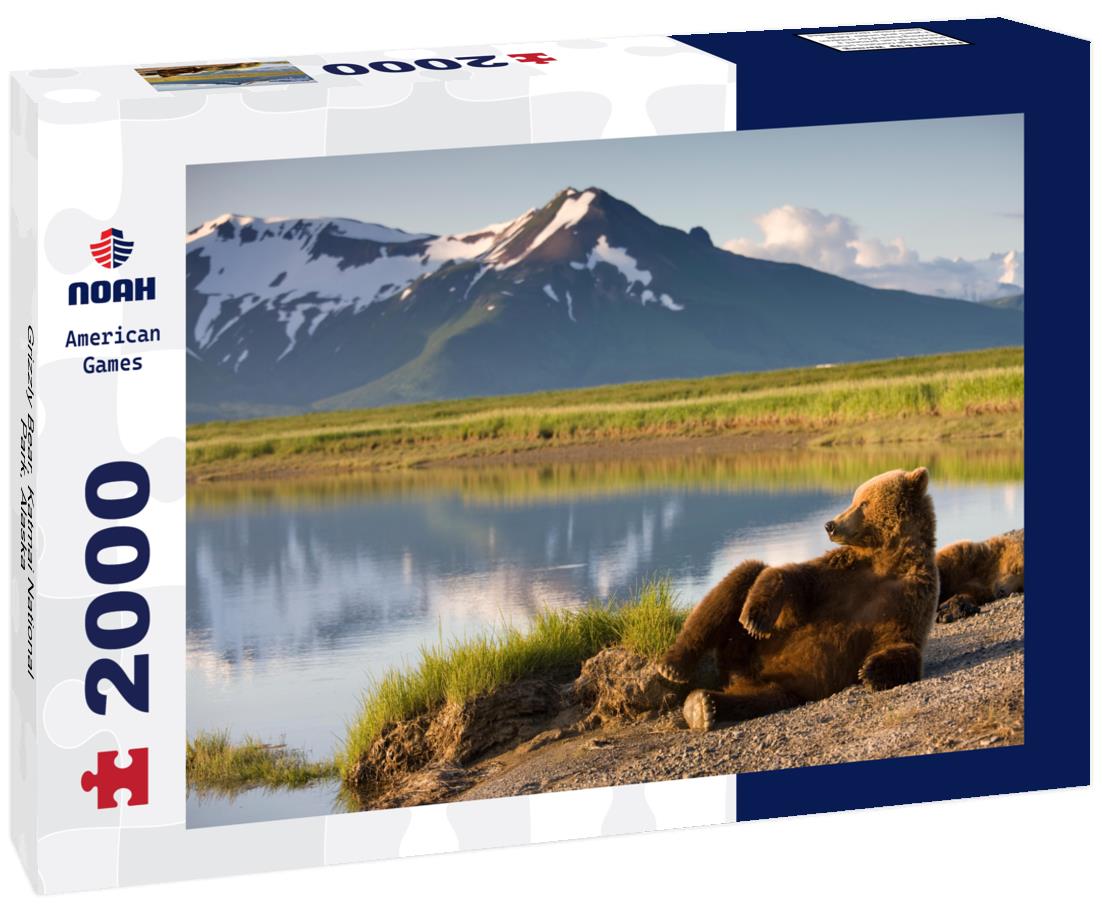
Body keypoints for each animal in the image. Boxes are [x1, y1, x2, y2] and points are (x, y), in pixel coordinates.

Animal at [657, 467, 939, 731]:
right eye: (854, 498)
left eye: (863, 503)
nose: (831, 525)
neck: (886, 560)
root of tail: (740, 674)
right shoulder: (841, 575)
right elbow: (794, 577)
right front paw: (756, 619)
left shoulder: (909, 596)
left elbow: (902, 641)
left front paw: (871, 670)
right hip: (744, 645)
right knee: (742, 576)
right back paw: (674, 666)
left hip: (780, 683)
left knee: (759, 698)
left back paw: (703, 706)